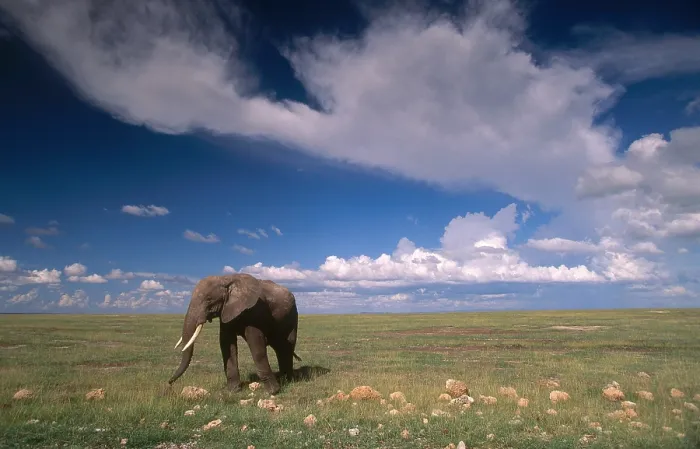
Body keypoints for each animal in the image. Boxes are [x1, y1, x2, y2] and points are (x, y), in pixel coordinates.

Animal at [168, 273, 300, 395]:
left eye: (209, 299)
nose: (169, 382)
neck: (225, 279)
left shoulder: (255, 310)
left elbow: (256, 345)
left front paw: (273, 392)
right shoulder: (226, 310)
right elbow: (226, 343)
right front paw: (233, 391)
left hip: (292, 316)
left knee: (286, 346)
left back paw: (288, 380)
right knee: (280, 347)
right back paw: (284, 379)